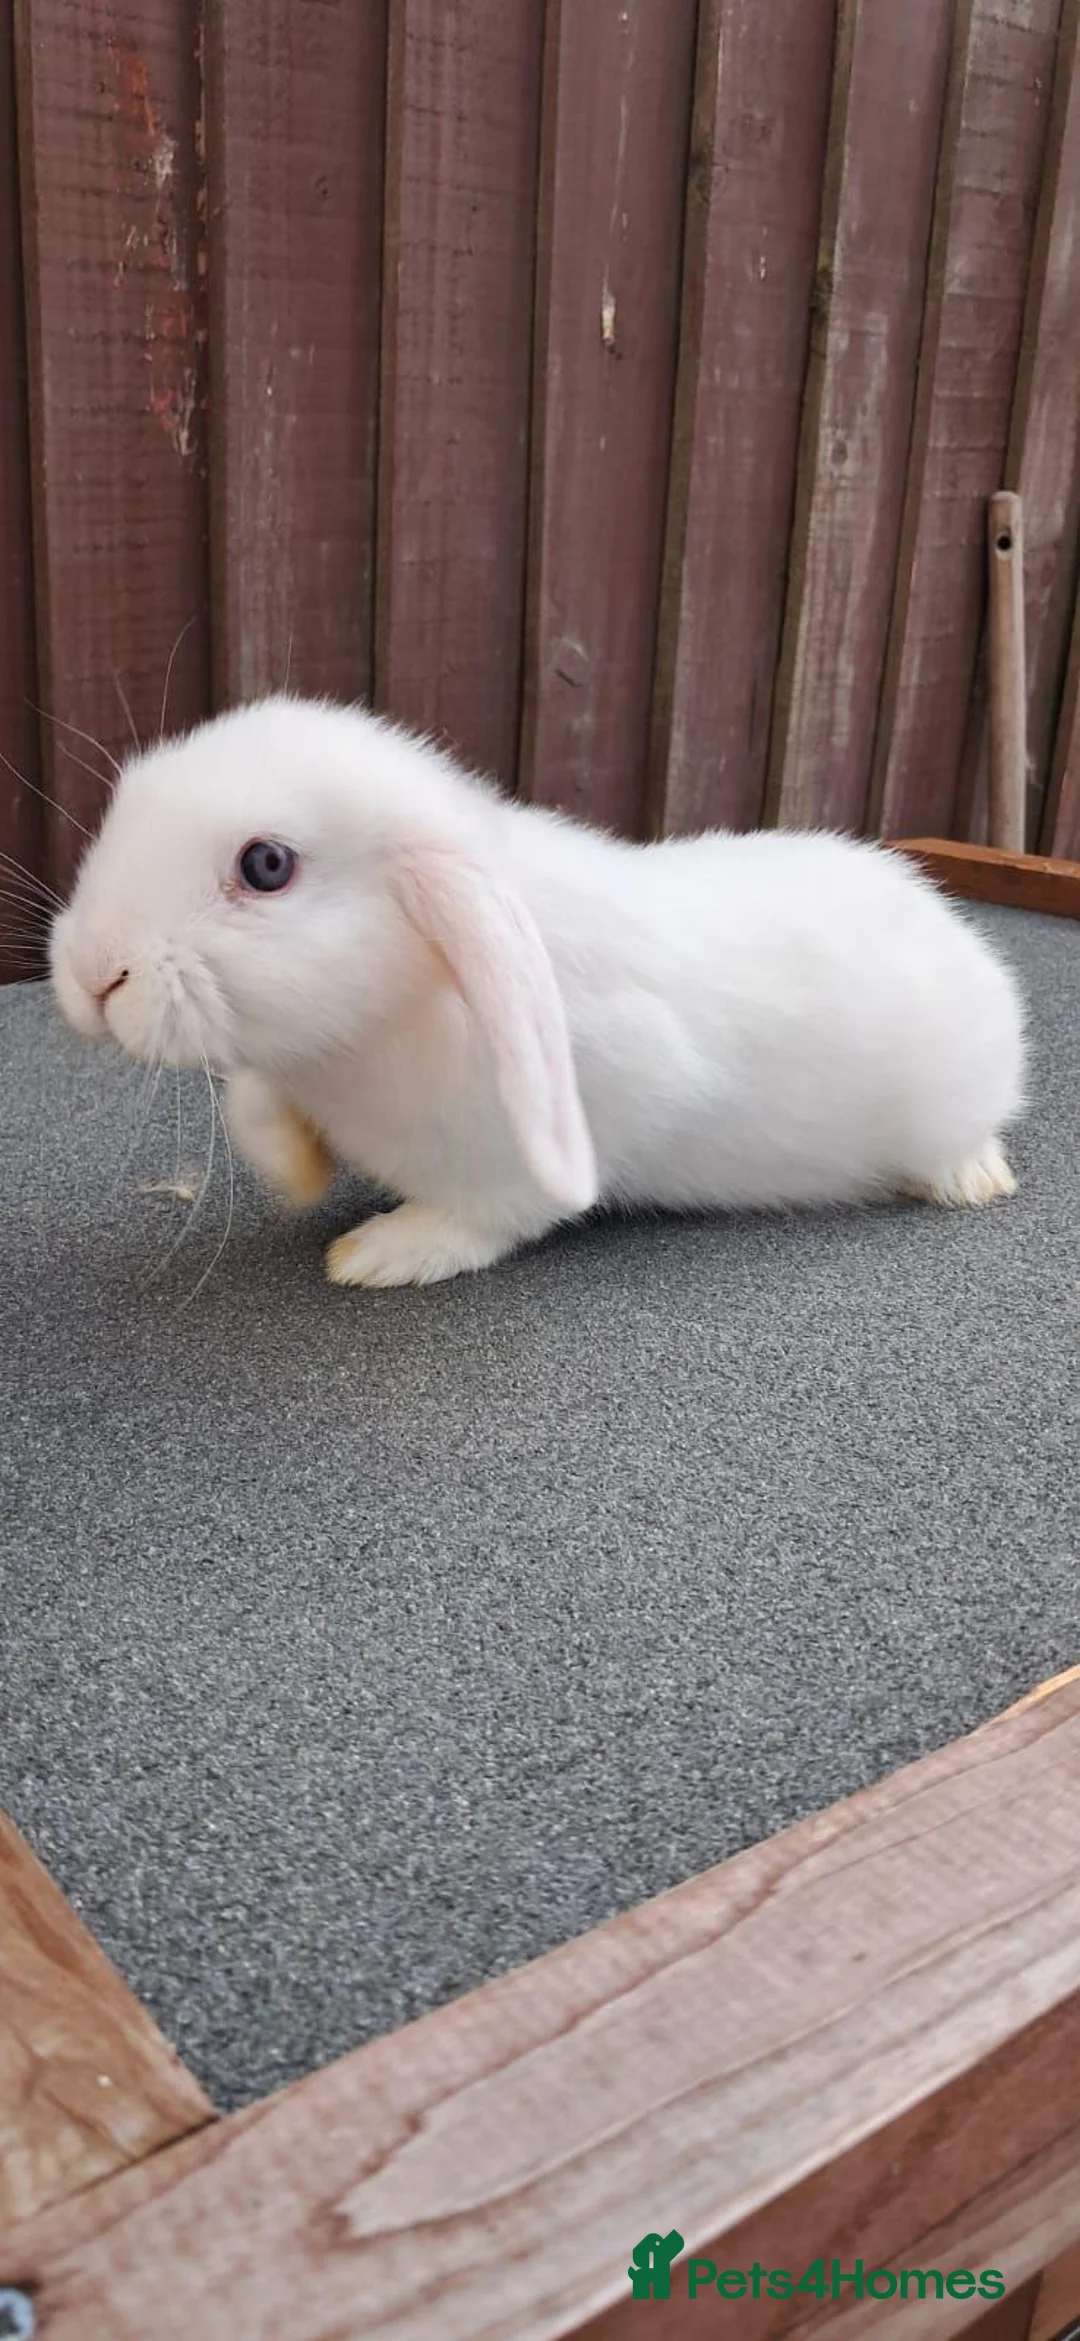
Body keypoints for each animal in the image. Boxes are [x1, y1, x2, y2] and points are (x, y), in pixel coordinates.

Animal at [50, 695, 1024, 1287]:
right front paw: (296, 1172)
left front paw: (380, 1252)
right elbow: (253, 1102)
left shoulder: (557, 1140)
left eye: (266, 865)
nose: (92, 974)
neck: (382, 1019)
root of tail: (970, 950)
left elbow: (495, 1213)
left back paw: (973, 1178)